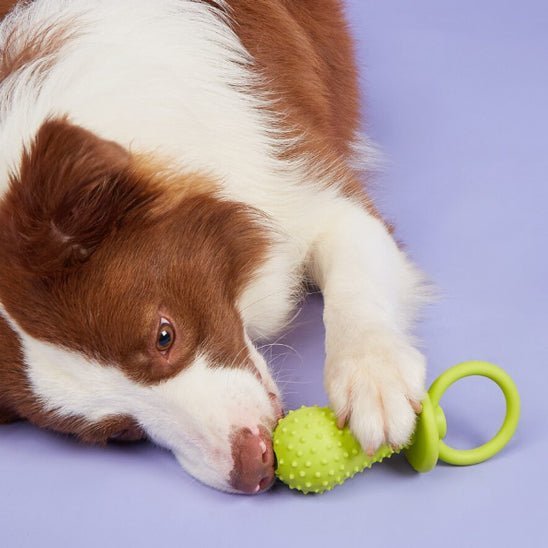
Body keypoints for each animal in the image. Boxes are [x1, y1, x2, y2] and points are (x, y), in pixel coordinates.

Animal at [0, 0, 428, 494]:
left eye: (164, 335)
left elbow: (355, 285)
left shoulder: (301, 179)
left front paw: (373, 380)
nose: (255, 467)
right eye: (119, 432)